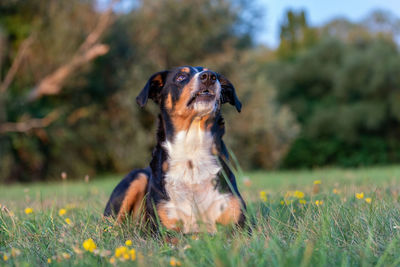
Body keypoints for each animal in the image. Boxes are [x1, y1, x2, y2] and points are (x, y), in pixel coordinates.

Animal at [103, 66, 245, 233]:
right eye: (180, 77)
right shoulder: (164, 229)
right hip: (137, 178)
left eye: (214, 74)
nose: (209, 77)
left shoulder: (239, 225)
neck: (192, 150)